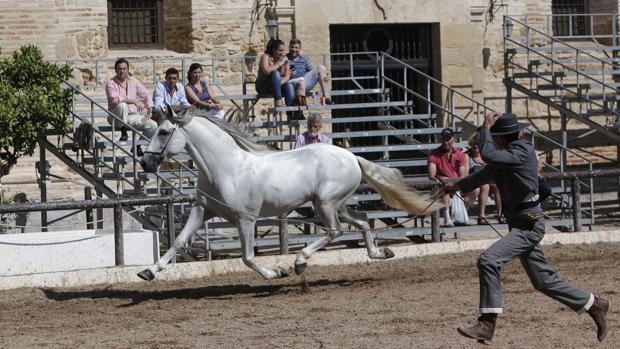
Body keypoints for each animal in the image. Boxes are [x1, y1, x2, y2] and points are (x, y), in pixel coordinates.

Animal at [138, 106, 444, 280]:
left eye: (164, 132)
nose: (145, 162)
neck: (226, 168)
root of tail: (352, 157)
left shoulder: (246, 219)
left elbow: (248, 257)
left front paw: (276, 272)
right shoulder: (203, 210)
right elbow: (178, 241)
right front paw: (148, 272)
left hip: (325, 204)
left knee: (336, 231)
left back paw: (299, 263)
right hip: (336, 204)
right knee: (363, 220)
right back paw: (380, 253)